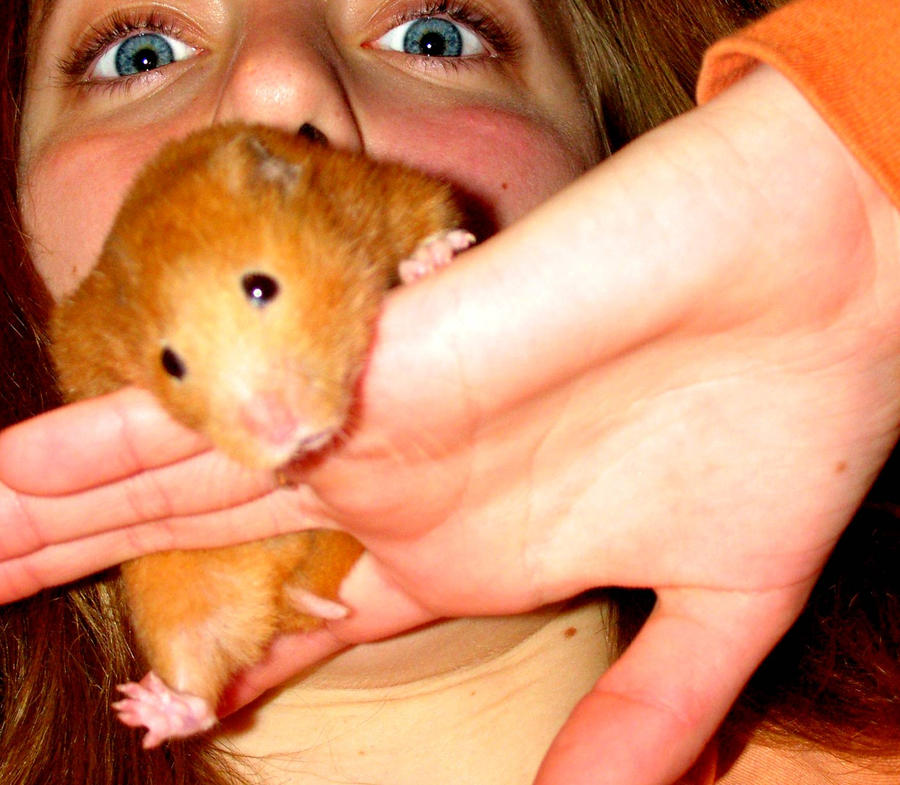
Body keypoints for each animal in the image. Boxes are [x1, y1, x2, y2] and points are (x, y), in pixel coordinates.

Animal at [49, 123, 474, 748]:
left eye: (260, 287)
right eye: (170, 363)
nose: (284, 436)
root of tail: (284, 594)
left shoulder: (386, 193)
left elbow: (428, 220)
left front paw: (433, 257)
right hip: (172, 586)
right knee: (198, 678)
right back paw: (149, 710)